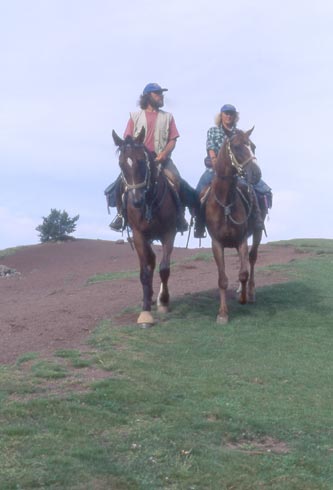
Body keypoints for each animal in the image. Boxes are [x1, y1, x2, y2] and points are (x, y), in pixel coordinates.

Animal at [111, 128, 179, 328]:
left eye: (141, 161)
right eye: (121, 164)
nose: (136, 201)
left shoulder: (168, 233)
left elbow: (164, 269)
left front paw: (164, 301)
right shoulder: (139, 235)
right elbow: (144, 273)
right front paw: (145, 312)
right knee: (150, 262)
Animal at [202, 128, 264, 324]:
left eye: (253, 146)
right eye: (236, 146)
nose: (256, 174)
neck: (226, 203)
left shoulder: (241, 240)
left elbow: (243, 273)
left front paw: (243, 298)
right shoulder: (217, 243)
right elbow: (222, 279)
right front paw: (222, 313)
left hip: (257, 232)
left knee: (252, 259)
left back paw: (250, 293)